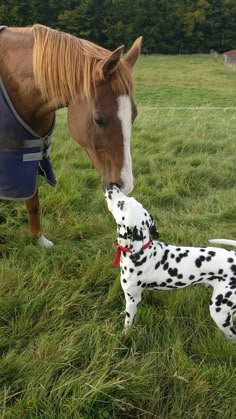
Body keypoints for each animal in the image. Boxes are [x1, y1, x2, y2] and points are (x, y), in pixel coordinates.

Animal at [0, 24, 142, 248]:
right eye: (99, 119)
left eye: (133, 116)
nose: (125, 185)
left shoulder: (30, 156)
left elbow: (33, 200)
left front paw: (39, 239)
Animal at [105, 185, 236, 340]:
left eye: (121, 204)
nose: (112, 185)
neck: (143, 252)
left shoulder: (133, 299)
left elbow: (128, 322)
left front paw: (124, 334)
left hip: (219, 311)